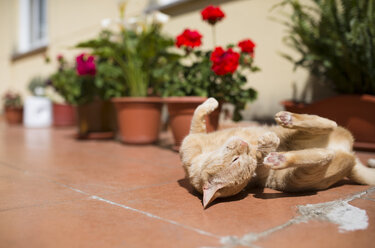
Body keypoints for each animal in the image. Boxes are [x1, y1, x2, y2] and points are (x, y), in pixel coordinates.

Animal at [180, 98, 375, 208]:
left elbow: (198, 112)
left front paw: (211, 101)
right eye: (237, 160)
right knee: (322, 153)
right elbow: (197, 115)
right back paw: (279, 156)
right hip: (296, 177)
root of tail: (350, 156)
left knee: (329, 123)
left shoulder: (195, 136)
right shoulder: (194, 135)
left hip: (295, 136)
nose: (245, 145)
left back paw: (287, 119)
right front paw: (266, 145)